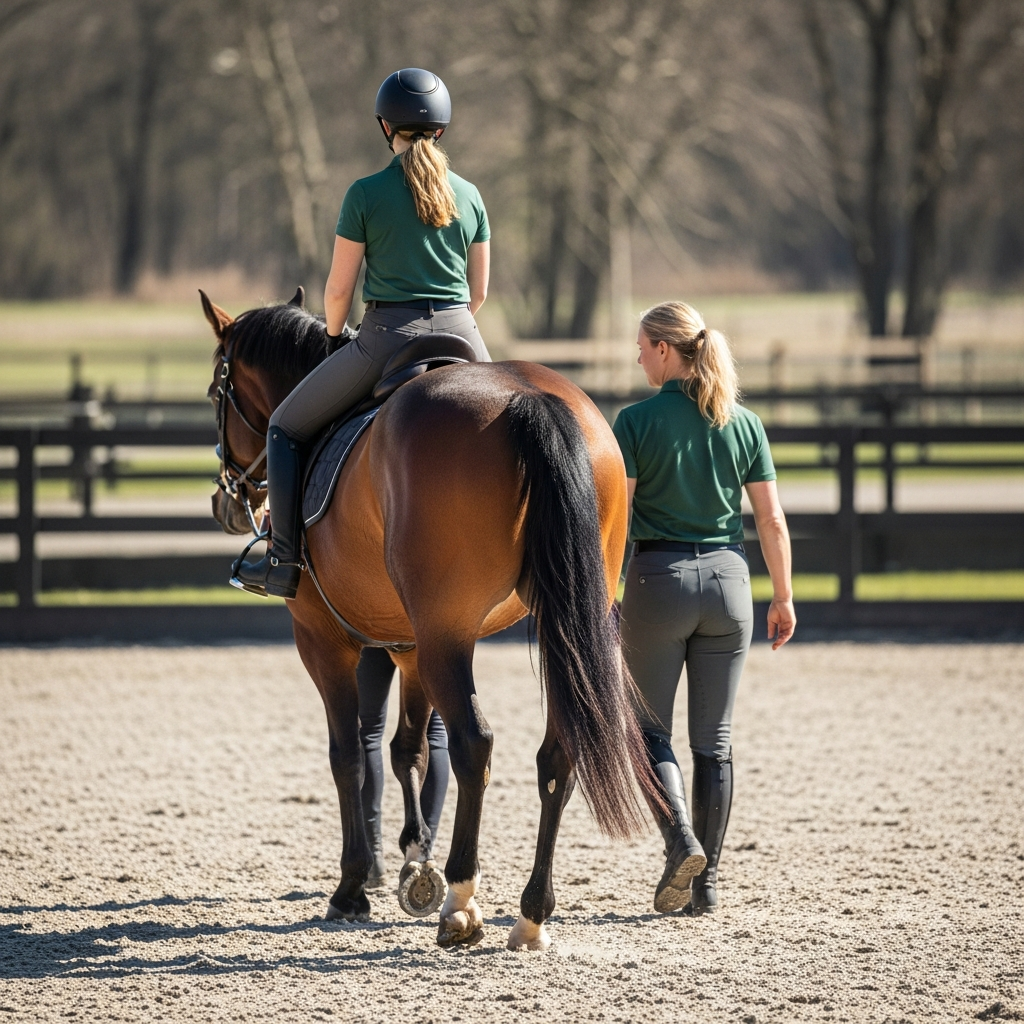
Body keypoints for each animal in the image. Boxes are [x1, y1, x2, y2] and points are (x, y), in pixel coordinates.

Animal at [202, 288, 661, 951]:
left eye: (218, 389)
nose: (225, 502)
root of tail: (528, 399)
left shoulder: (324, 642)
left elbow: (348, 756)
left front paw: (353, 889)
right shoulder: (410, 646)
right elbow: (406, 751)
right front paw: (415, 862)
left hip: (448, 637)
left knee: (475, 745)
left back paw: (462, 904)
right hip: (557, 627)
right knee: (557, 754)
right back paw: (531, 913)